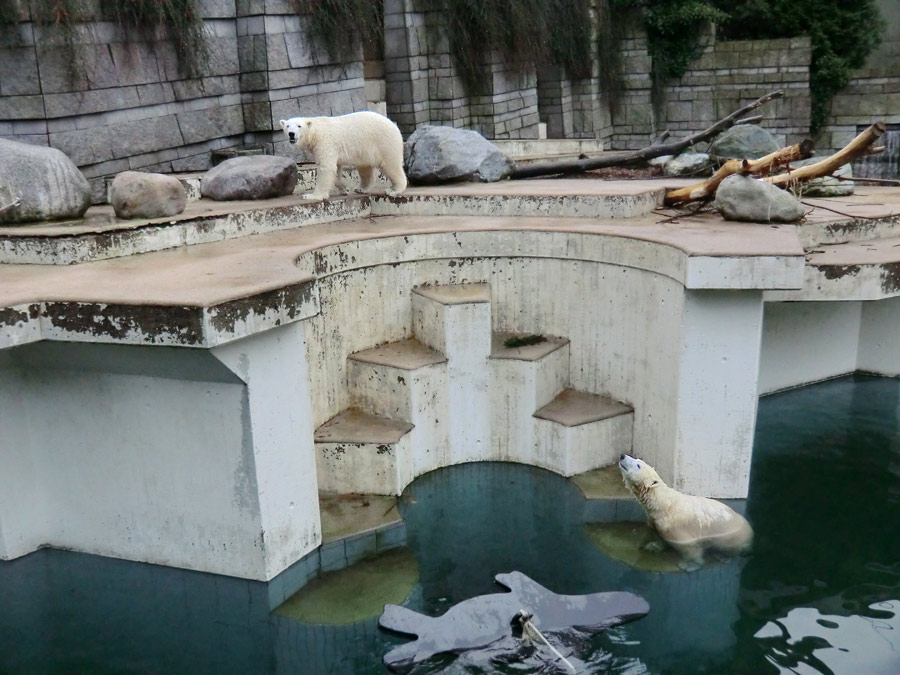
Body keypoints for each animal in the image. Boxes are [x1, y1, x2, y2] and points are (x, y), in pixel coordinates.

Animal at [278, 110, 408, 201]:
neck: (316, 132)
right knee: (365, 169)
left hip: (384, 143)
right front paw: (344, 188)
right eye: (287, 126)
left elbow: (326, 168)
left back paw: (394, 190)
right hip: (366, 150)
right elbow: (336, 169)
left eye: (299, 126)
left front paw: (312, 196)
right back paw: (361, 188)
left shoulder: (325, 143)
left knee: (391, 165)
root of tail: (394, 125)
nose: (291, 134)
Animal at [620, 454, 752, 572]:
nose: (622, 455)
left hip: (731, 537)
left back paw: (723, 556)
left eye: (638, 465)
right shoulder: (657, 522)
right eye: (637, 459)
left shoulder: (679, 530)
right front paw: (653, 546)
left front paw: (689, 565)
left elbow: (691, 548)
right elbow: (660, 536)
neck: (664, 504)